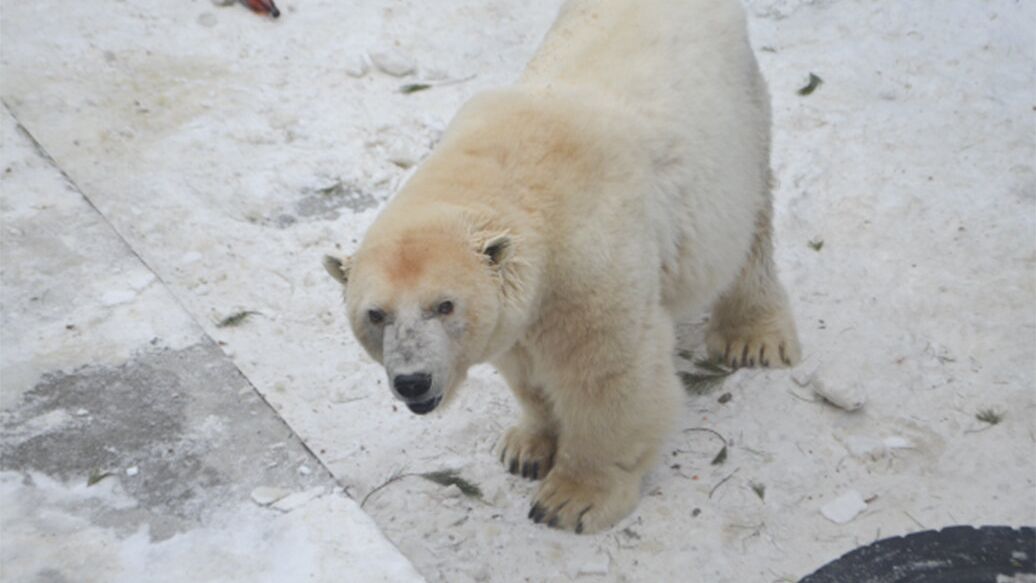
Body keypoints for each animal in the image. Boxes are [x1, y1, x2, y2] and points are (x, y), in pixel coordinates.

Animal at [323, 0, 799, 534]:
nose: (412, 382)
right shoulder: (524, 309)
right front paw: (525, 448)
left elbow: (607, 376)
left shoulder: (590, 264)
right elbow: (527, 371)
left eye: (444, 305)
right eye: (375, 314)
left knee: (748, 234)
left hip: (737, 130)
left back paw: (753, 340)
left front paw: (571, 500)